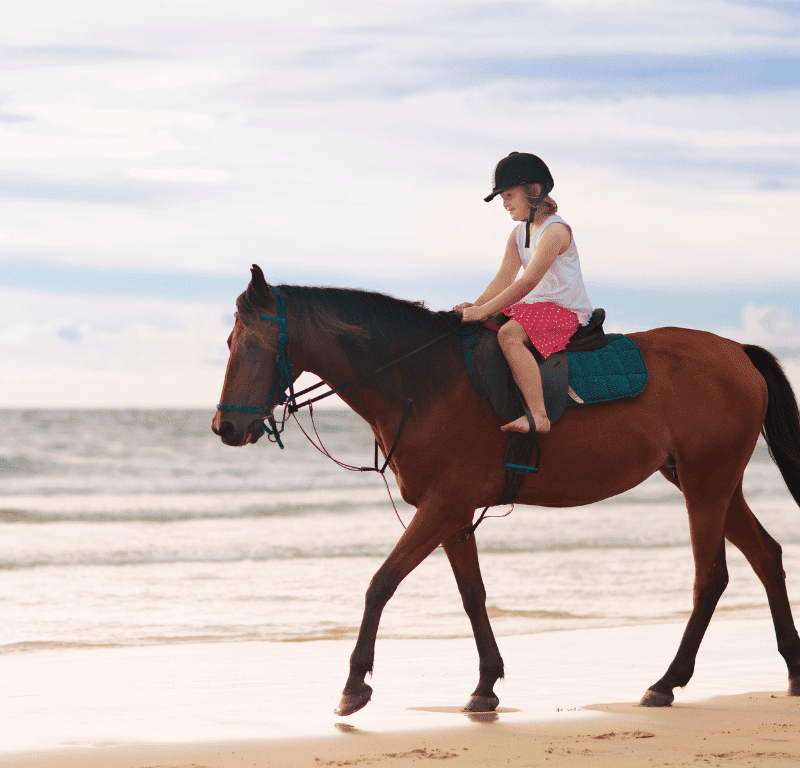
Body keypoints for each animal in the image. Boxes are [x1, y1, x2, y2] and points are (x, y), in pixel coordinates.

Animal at [212, 268, 800, 716]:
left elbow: (380, 584)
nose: (225, 428)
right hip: (709, 482)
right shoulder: (452, 513)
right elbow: (472, 595)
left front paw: (354, 685)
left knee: (712, 578)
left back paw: (667, 681)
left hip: (705, 484)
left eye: (255, 345)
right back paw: (792, 669)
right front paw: (485, 685)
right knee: (767, 556)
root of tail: (737, 351)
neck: (422, 381)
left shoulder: (442, 505)